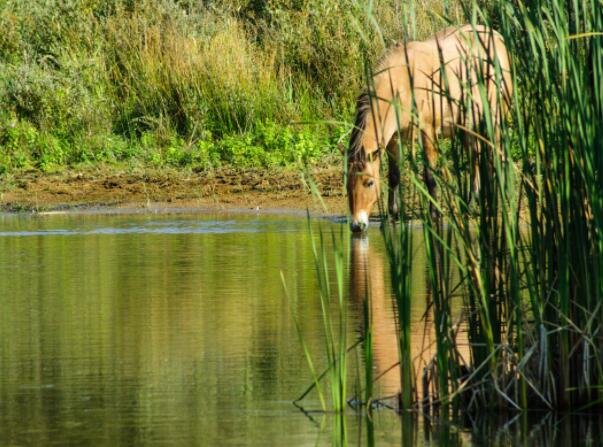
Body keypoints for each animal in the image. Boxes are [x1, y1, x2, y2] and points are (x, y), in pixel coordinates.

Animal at [346, 24, 512, 234]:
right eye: (347, 184)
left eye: (369, 183)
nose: (357, 225)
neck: (402, 82)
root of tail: (497, 36)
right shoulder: (394, 138)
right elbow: (394, 175)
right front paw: (393, 214)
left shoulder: (428, 132)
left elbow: (429, 176)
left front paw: (435, 214)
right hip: (468, 128)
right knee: (475, 158)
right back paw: (472, 203)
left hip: (495, 120)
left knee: (498, 155)